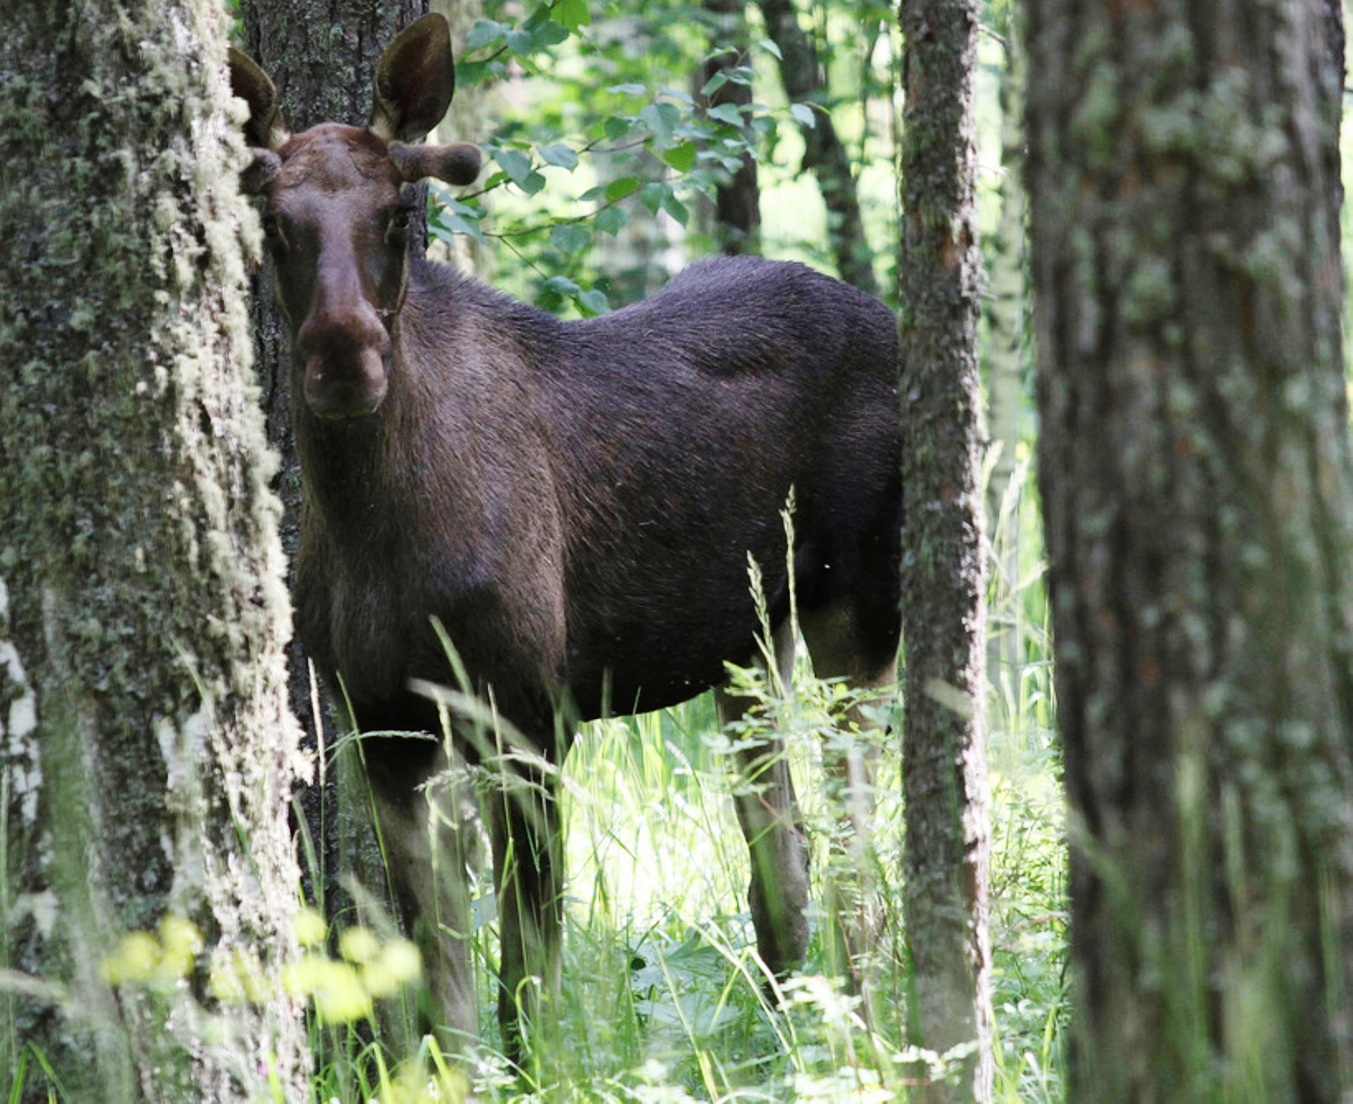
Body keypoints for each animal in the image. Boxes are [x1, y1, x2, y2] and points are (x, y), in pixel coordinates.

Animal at [231, 10, 903, 1060]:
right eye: (275, 222)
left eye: (398, 215)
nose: (345, 359)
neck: (374, 523)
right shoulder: (384, 722)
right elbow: (444, 991)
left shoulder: (531, 711)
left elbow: (528, 986)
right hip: (749, 646)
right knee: (781, 859)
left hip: (858, 615)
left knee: (859, 866)